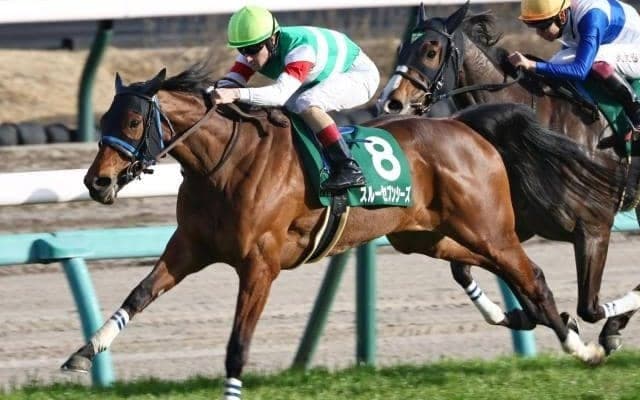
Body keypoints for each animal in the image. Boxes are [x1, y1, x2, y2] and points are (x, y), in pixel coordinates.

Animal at [59, 66, 611, 398]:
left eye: (133, 122)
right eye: (106, 118)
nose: (96, 182)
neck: (225, 163)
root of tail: (466, 125)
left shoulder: (259, 265)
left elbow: (238, 341)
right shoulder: (189, 247)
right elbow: (138, 295)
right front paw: (83, 354)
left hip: (488, 227)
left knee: (531, 274)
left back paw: (583, 345)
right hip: (424, 235)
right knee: (487, 269)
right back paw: (526, 319)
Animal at [376, 2, 640, 355]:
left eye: (430, 51)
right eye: (402, 48)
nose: (391, 102)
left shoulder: (594, 228)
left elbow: (590, 307)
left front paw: (601, 330)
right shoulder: (513, 225)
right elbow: (467, 270)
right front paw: (524, 316)